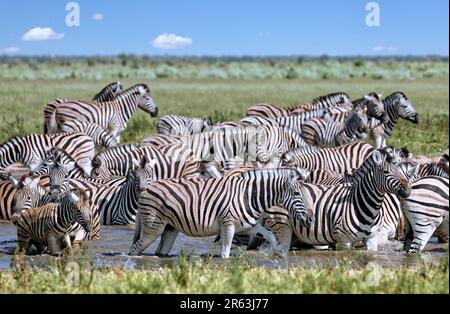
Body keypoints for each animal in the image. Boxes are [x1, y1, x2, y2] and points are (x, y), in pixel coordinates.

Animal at [130, 168, 312, 258]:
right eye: (297, 194)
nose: (310, 220)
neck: (249, 197)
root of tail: (147, 189)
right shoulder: (228, 225)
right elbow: (225, 254)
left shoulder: (248, 227)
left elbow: (272, 237)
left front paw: (275, 254)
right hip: (153, 226)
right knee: (135, 248)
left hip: (169, 228)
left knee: (160, 251)